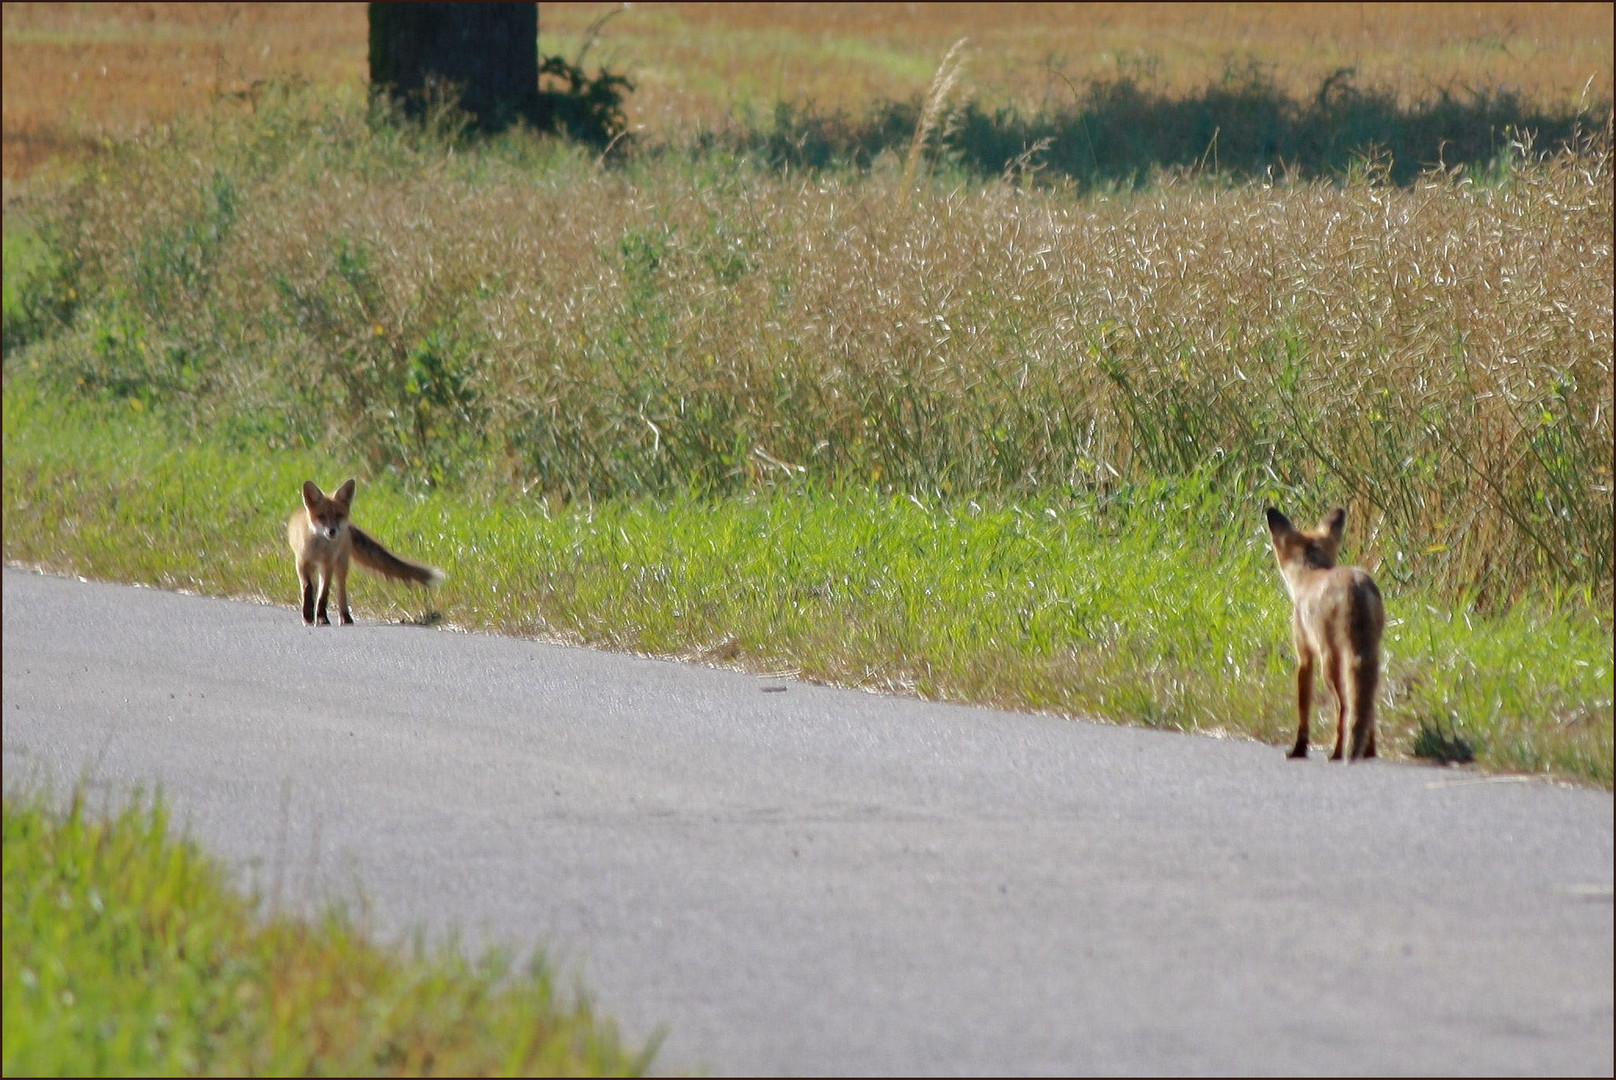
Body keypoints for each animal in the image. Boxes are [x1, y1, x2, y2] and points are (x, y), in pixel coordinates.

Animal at [287, 478, 442, 627]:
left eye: (338, 515)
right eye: (321, 516)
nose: (332, 531)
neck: (319, 547)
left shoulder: (327, 564)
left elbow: (323, 595)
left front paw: (321, 618)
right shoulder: (301, 562)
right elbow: (308, 588)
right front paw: (308, 615)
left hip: (340, 565)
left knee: (340, 592)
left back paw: (345, 617)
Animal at [1266, 504, 1383, 759]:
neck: (1311, 572)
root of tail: (1356, 585)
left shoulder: (1305, 656)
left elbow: (1303, 709)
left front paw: (1298, 749)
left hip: (1329, 662)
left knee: (1344, 708)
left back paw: (1338, 753)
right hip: (1371, 656)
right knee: (1367, 705)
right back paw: (1368, 751)